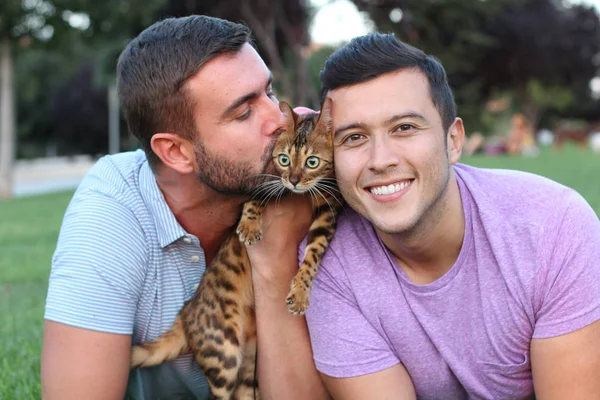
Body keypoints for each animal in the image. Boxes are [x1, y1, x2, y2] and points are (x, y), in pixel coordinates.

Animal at [131, 97, 342, 400]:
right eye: (284, 160)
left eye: (312, 162)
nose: (293, 180)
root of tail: (186, 314)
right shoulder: (266, 181)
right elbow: (255, 198)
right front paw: (250, 227)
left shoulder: (328, 213)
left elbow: (314, 254)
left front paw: (300, 293)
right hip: (222, 351)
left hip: (249, 358)